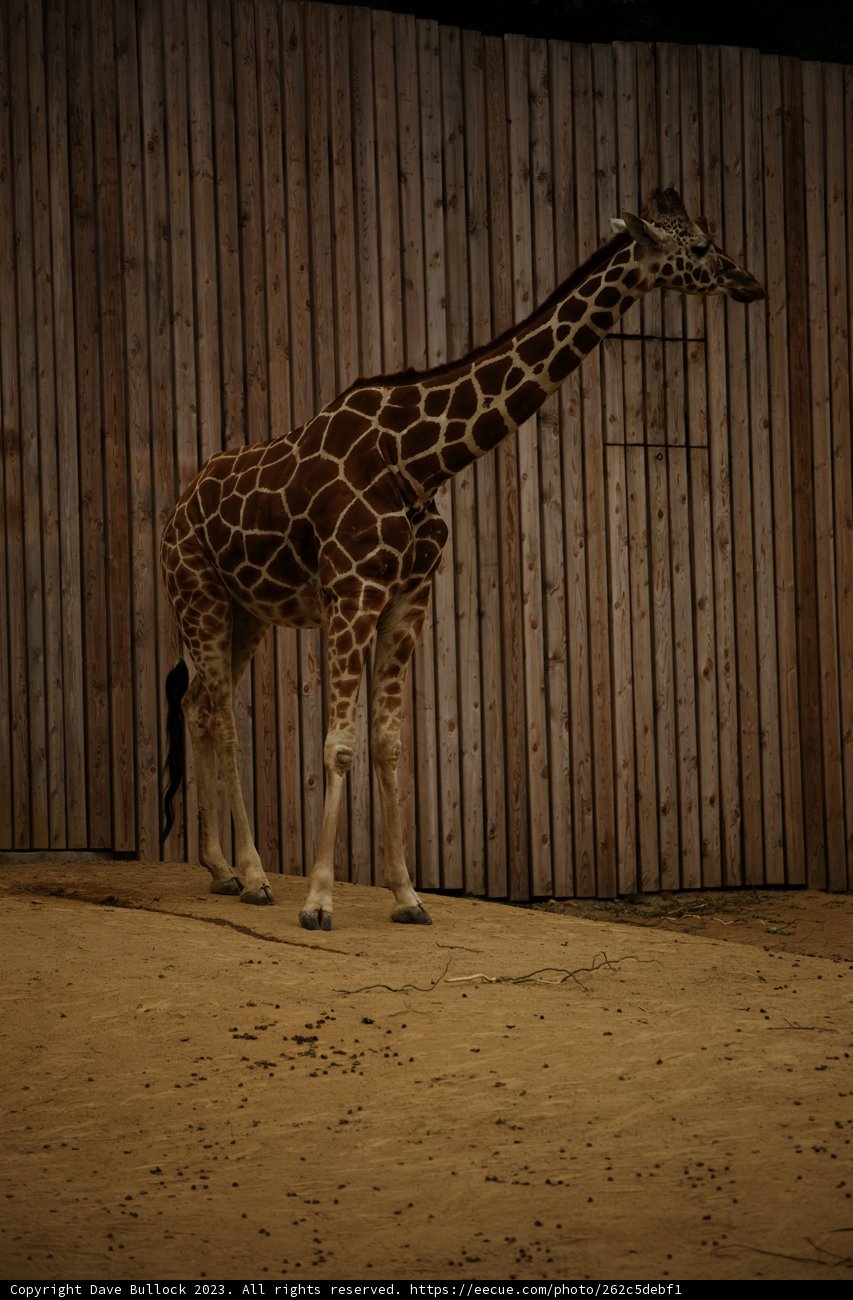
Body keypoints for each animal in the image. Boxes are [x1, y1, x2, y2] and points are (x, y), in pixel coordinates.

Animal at [160, 187, 764, 930]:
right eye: (700, 246)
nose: (749, 281)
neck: (419, 457)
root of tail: (175, 511)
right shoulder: (352, 590)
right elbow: (339, 742)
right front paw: (320, 899)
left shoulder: (408, 595)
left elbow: (388, 741)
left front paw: (407, 894)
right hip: (199, 593)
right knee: (221, 714)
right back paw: (253, 877)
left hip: (248, 613)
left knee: (198, 702)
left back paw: (220, 868)